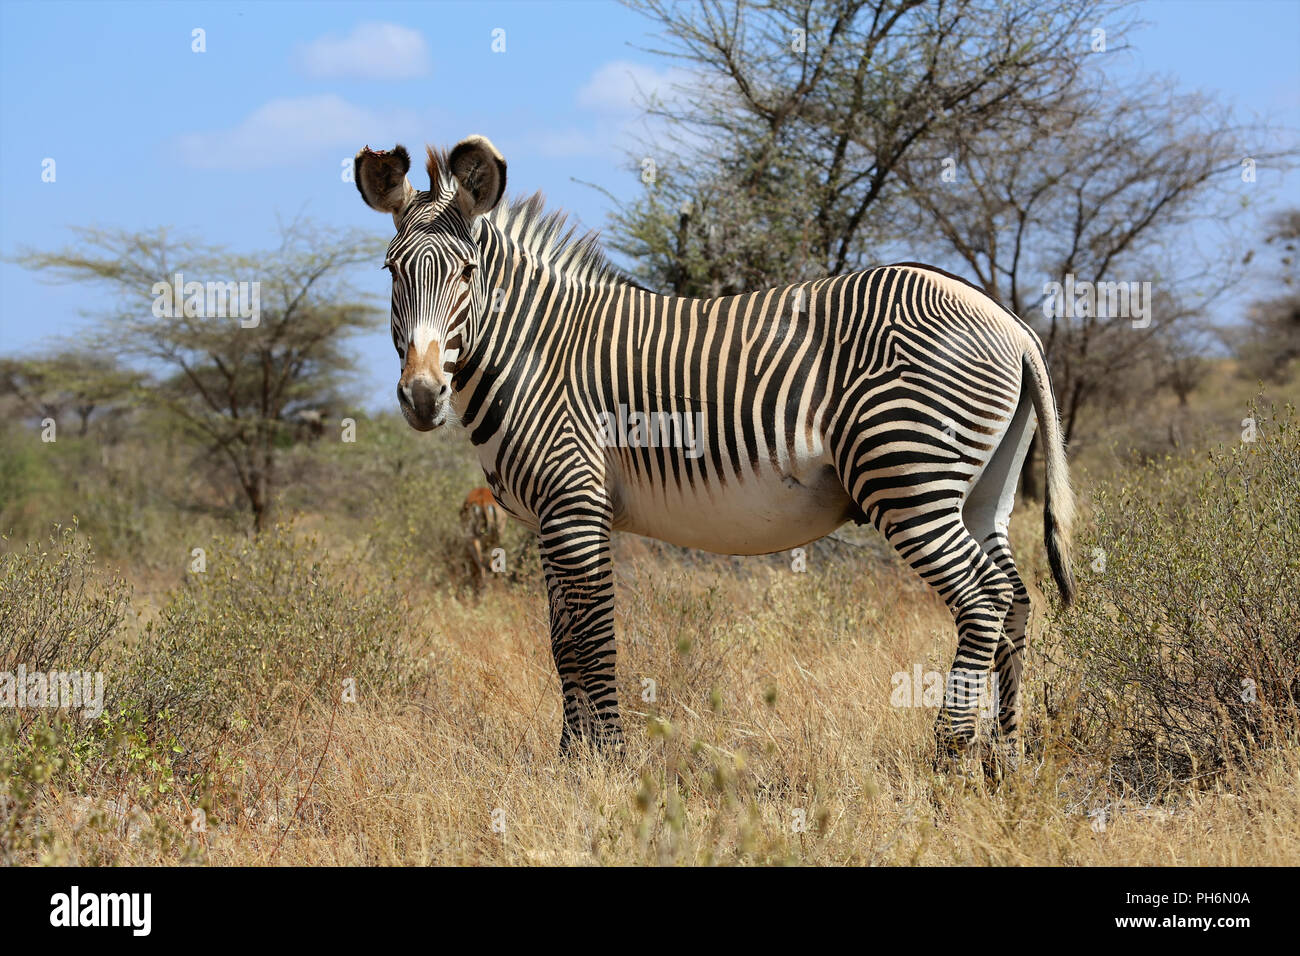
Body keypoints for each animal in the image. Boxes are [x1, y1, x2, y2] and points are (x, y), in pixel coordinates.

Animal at [353, 136, 1076, 764]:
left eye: (466, 273)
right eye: (392, 273)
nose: (422, 397)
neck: (535, 352)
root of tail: (1010, 324)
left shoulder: (575, 504)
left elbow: (592, 639)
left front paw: (609, 762)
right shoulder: (546, 516)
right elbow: (562, 643)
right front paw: (571, 760)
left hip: (907, 476)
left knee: (981, 596)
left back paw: (950, 752)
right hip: (982, 490)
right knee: (1015, 597)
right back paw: (1003, 757)